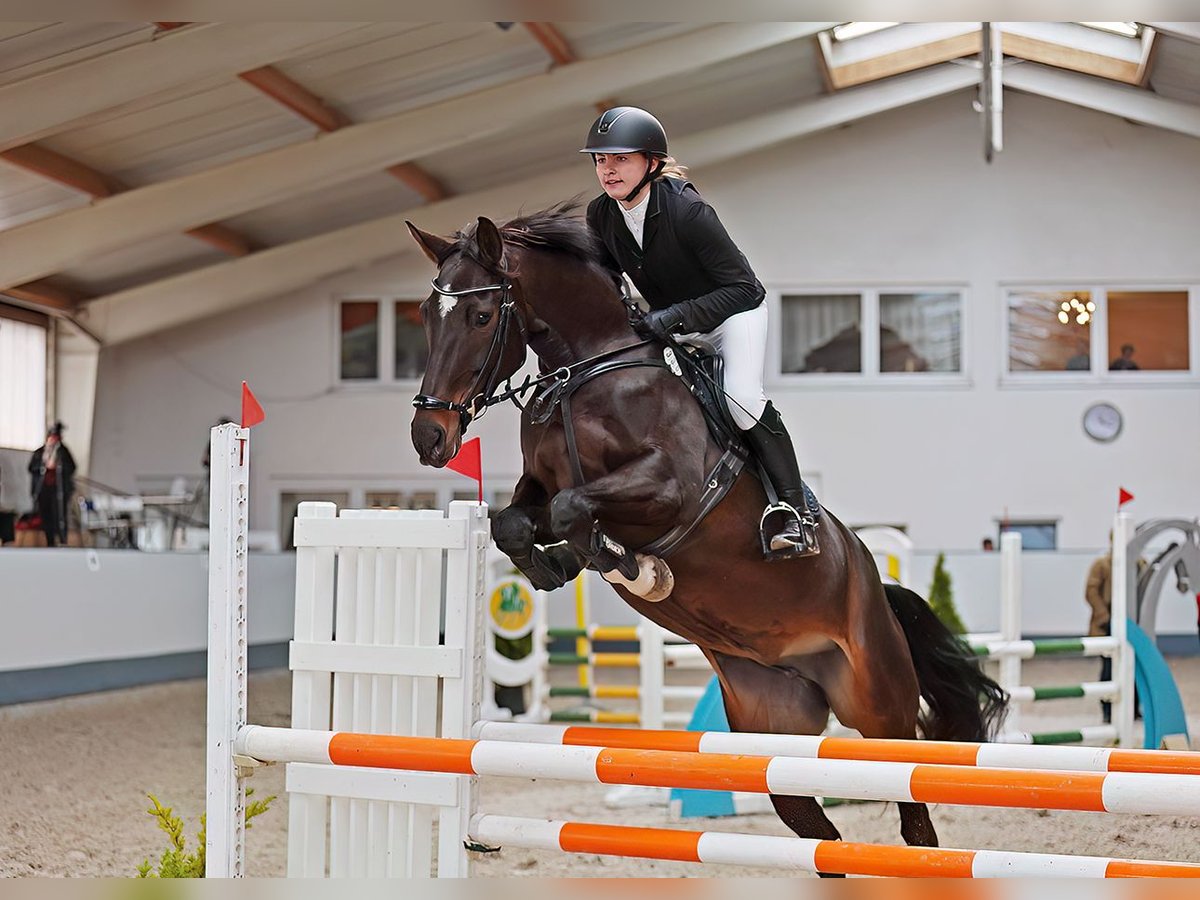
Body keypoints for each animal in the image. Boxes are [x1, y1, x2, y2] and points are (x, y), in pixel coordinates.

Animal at [403, 204, 1003, 868]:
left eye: (482, 316)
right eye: (426, 314)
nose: (429, 437)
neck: (587, 371)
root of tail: (877, 589)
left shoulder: (673, 490)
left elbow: (572, 508)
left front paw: (633, 567)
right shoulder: (537, 484)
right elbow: (518, 521)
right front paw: (561, 566)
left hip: (879, 706)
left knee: (914, 815)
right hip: (771, 731)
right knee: (816, 829)